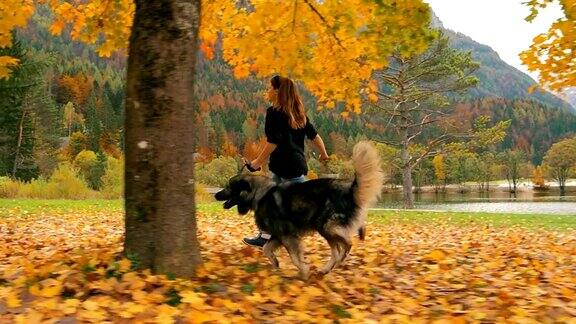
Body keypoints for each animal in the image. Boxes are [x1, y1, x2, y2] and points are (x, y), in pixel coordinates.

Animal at [214, 141, 384, 278]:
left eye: (229, 187)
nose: (216, 195)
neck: (259, 193)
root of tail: (349, 190)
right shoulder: (278, 235)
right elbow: (267, 249)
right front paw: (275, 265)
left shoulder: (287, 236)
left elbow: (295, 258)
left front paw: (303, 273)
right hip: (326, 229)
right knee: (337, 251)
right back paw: (326, 269)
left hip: (325, 226)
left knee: (346, 244)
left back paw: (337, 262)